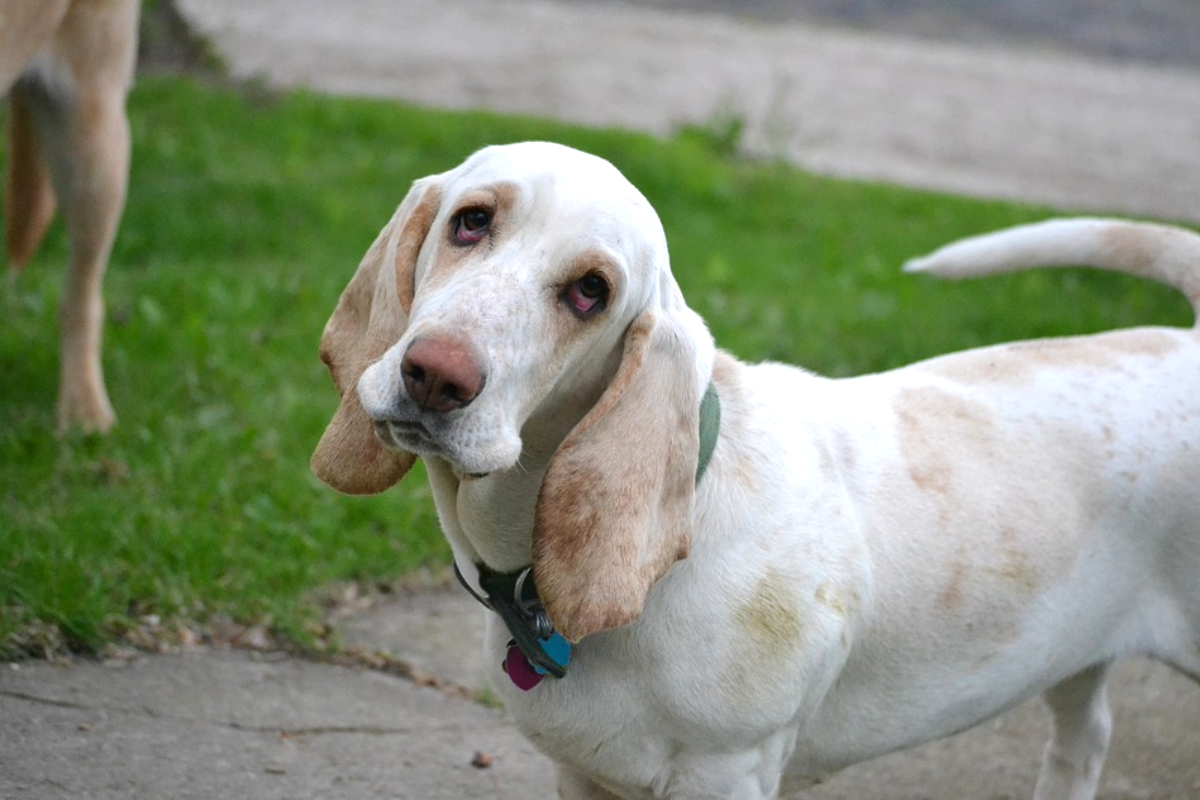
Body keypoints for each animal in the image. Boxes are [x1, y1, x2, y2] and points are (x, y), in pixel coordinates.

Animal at [312, 140, 1200, 796]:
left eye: (591, 292)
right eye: (470, 222)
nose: (436, 375)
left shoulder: (725, 773)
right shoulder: (583, 775)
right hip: (1074, 658)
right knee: (1087, 738)